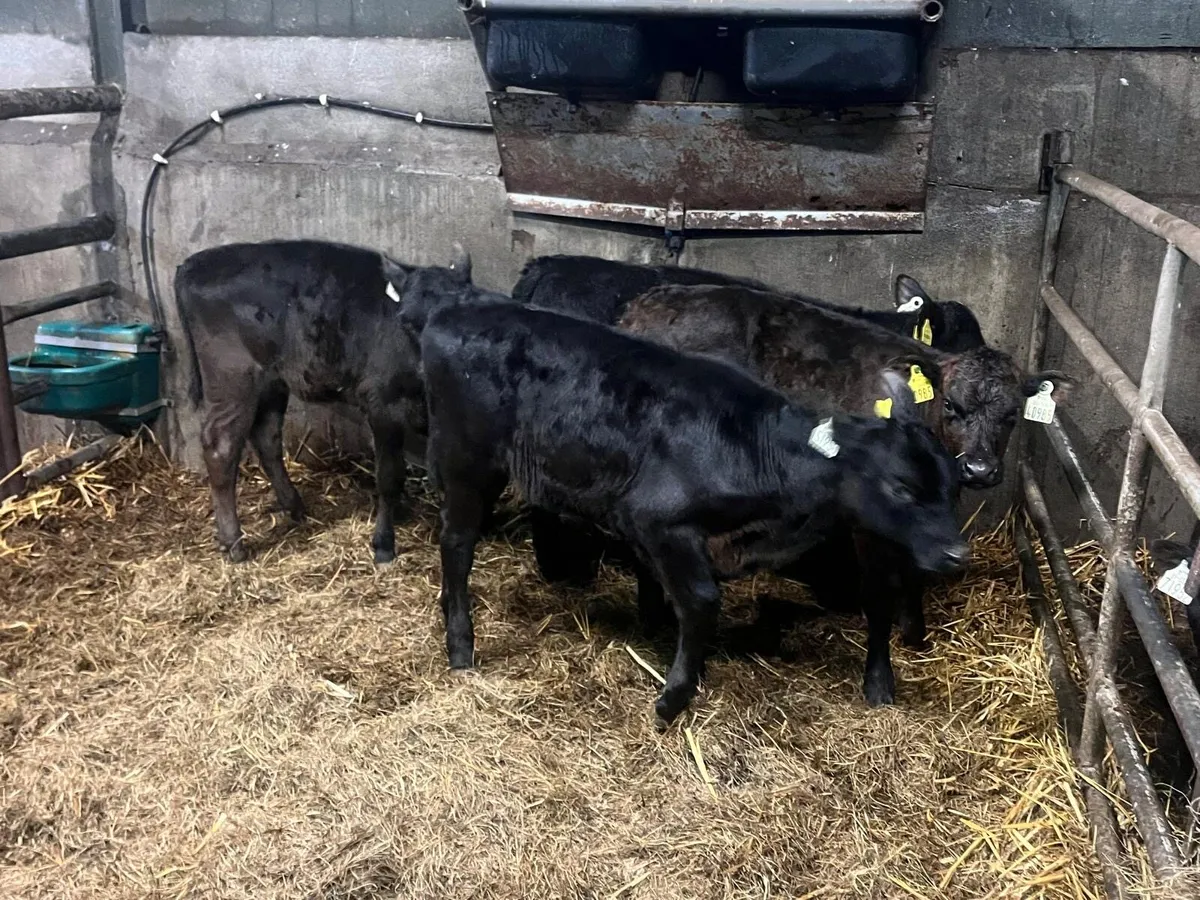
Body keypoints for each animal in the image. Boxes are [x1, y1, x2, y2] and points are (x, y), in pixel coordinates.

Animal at [175, 239, 505, 563]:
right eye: (404, 320)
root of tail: (192, 264)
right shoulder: (382, 405)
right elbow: (389, 476)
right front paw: (384, 544)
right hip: (232, 378)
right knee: (221, 446)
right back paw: (234, 543)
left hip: (271, 381)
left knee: (266, 437)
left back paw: (294, 507)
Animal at [420, 302, 969, 724]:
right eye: (900, 489)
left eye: (952, 486)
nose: (957, 554)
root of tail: (455, 311)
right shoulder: (661, 522)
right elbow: (702, 600)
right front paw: (674, 697)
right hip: (468, 460)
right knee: (457, 544)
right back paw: (461, 647)